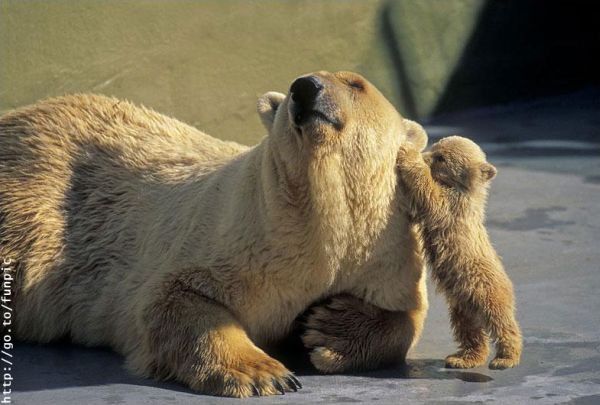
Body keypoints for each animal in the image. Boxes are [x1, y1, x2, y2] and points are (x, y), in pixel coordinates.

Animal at [2, 71, 428, 396]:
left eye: (355, 84)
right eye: (298, 82)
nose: (305, 86)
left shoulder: (383, 250)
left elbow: (407, 317)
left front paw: (329, 329)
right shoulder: (237, 235)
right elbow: (175, 296)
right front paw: (264, 374)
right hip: (30, 212)